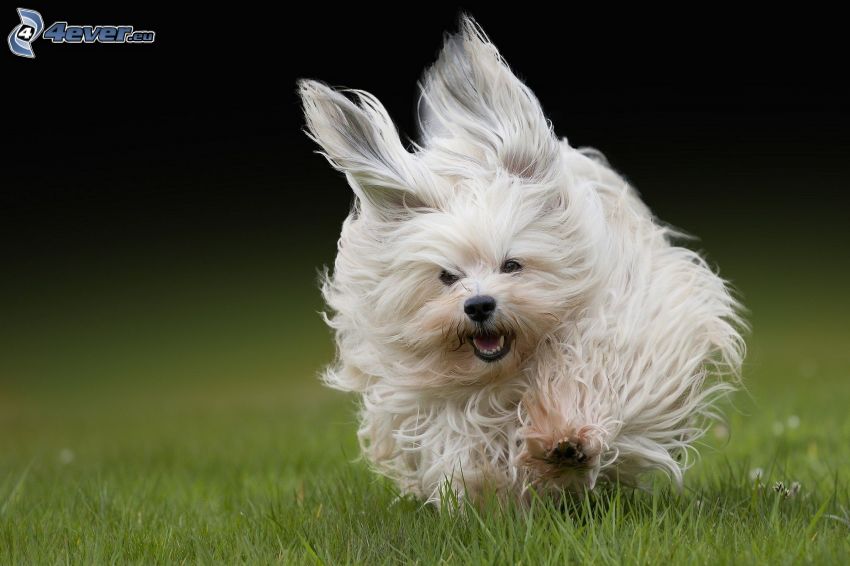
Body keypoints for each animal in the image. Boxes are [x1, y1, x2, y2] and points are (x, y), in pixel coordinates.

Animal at [298, 16, 744, 506]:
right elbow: (465, 442)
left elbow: (593, 375)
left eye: (512, 264)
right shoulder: (425, 401)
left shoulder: (631, 327)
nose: (479, 305)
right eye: (446, 276)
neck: (509, 369)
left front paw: (565, 438)